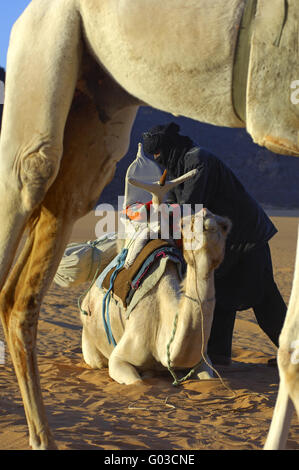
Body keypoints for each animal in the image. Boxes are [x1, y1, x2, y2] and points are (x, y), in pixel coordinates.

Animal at [0, 0, 298, 450]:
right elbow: (138, 381)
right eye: (190, 222)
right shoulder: (123, 358)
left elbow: (215, 371)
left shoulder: (202, 365)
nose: (207, 226)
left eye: (224, 226)